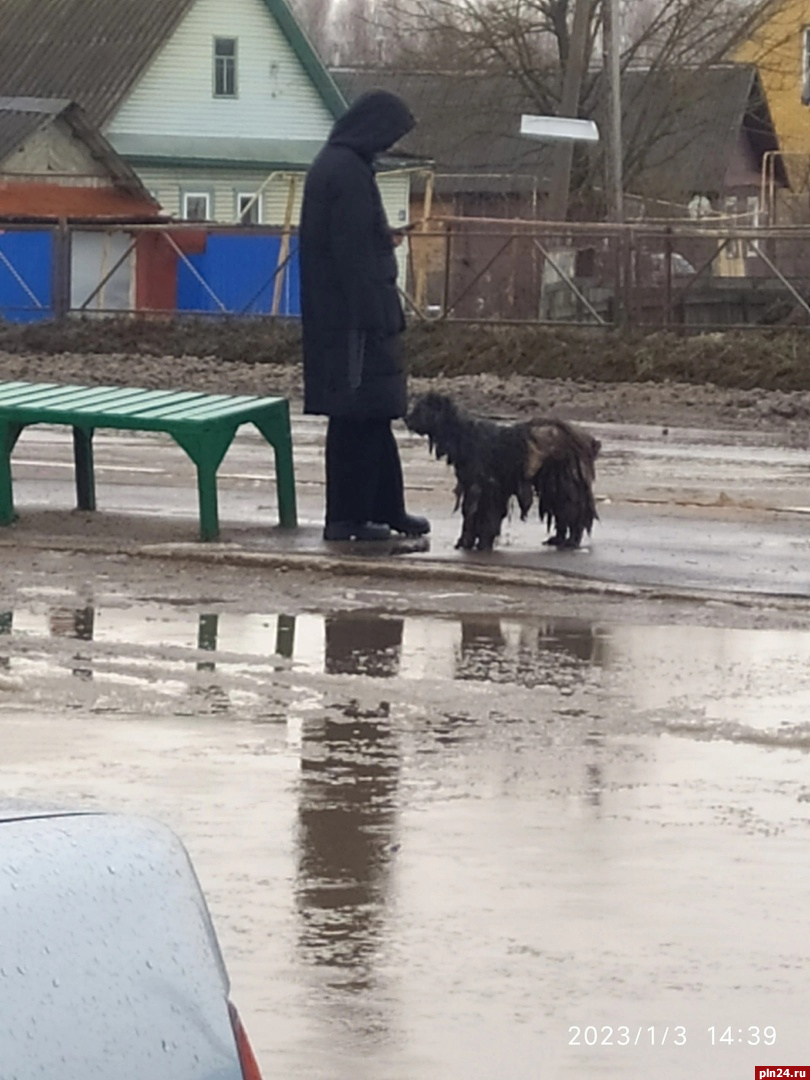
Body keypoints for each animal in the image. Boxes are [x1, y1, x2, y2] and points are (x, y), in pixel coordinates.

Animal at [406, 393, 604, 552]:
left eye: (421, 408)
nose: (406, 418)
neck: (465, 436)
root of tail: (582, 439)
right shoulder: (476, 486)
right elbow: (474, 515)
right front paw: (472, 542)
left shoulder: (484, 487)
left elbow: (479, 515)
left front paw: (477, 543)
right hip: (552, 486)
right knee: (563, 513)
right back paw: (558, 540)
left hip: (565, 483)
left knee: (574, 513)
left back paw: (572, 541)